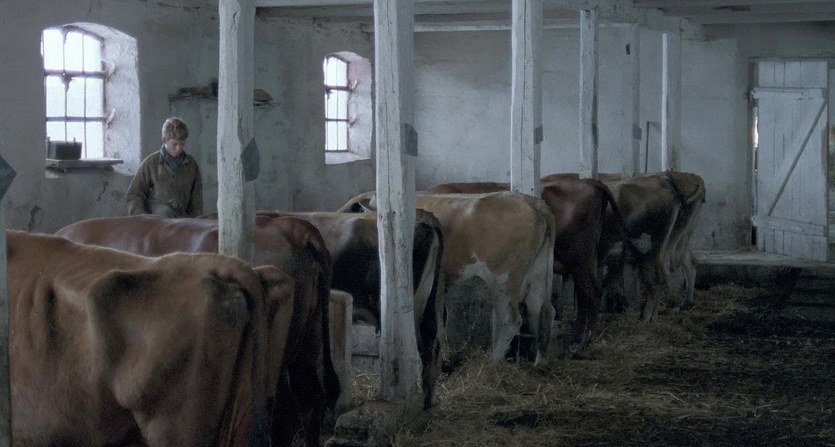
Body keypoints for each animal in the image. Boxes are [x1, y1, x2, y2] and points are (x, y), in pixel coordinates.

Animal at [339, 191, 556, 366]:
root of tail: (533, 203)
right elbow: (440, 321)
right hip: (539, 274)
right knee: (543, 310)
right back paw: (541, 361)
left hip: (504, 281)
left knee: (511, 320)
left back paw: (491, 362)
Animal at [427, 178, 627, 352]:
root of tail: (588, 181)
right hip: (583, 261)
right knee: (584, 297)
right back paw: (575, 337)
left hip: (578, 257)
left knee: (592, 294)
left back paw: (583, 342)